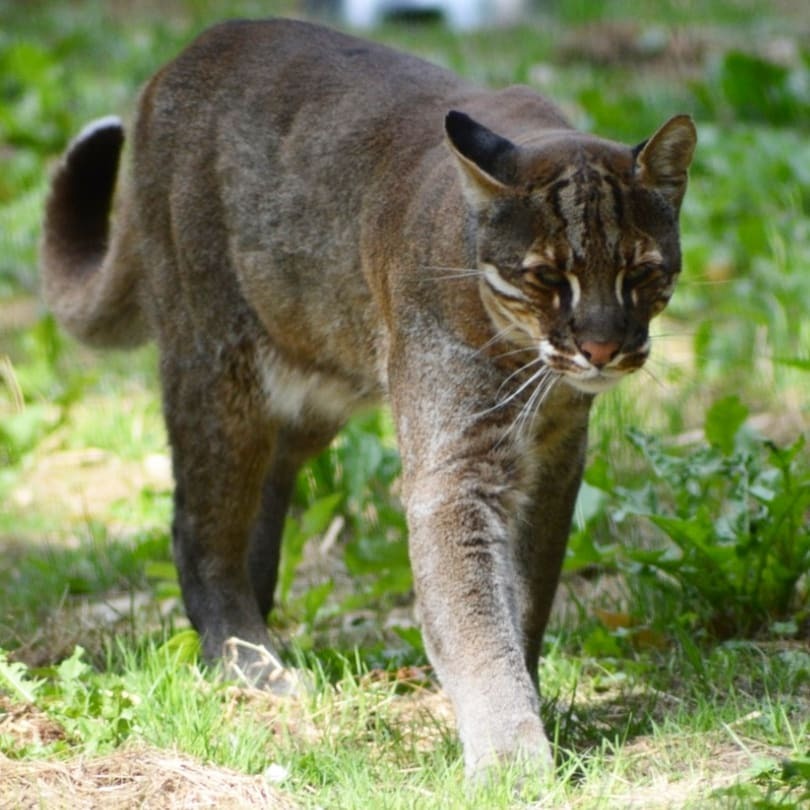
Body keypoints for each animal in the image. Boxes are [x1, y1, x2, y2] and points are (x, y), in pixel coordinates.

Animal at [41, 17, 692, 776]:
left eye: (641, 273)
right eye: (548, 277)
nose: (601, 347)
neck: (527, 365)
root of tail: (183, 57)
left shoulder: (553, 464)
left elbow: (526, 597)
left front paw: (530, 704)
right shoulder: (456, 471)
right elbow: (473, 614)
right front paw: (511, 756)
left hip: (310, 388)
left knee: (264, 490)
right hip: (216, 366)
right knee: (199, 524)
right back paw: (247, 660)